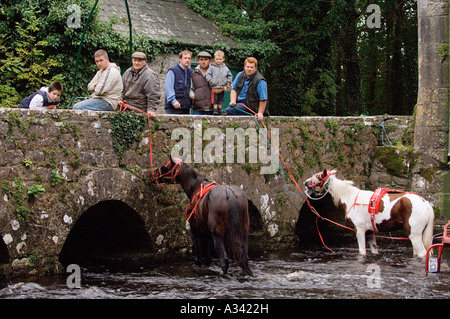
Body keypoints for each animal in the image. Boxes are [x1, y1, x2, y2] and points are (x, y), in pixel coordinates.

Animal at [304, 170, 434, 258]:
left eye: (318, 175)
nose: (305, 182)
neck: (351, 198)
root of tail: (425, 203)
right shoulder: (370, 233)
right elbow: (374, 251)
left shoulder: (360, 230)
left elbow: (362, 252)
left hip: (414, 234)